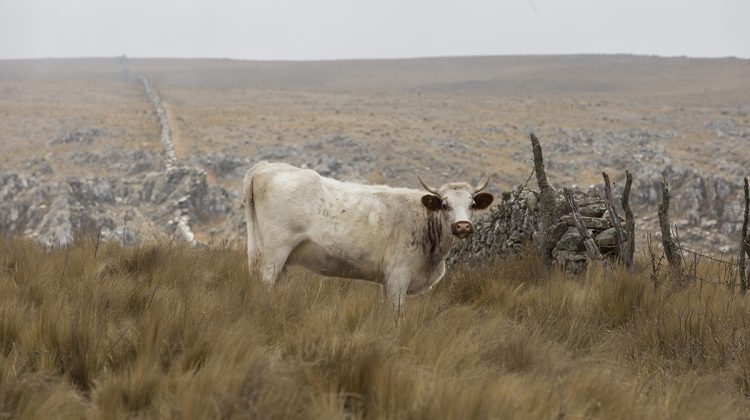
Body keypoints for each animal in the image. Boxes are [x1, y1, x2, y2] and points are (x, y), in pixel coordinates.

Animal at [244, 162, 496, 314]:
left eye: (472, 204)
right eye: (444, 204)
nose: (462, 225)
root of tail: (265, 167)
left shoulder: (387, 280)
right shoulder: (398, 276)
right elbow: (396, 313)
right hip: (274, 252)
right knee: (267, 280)